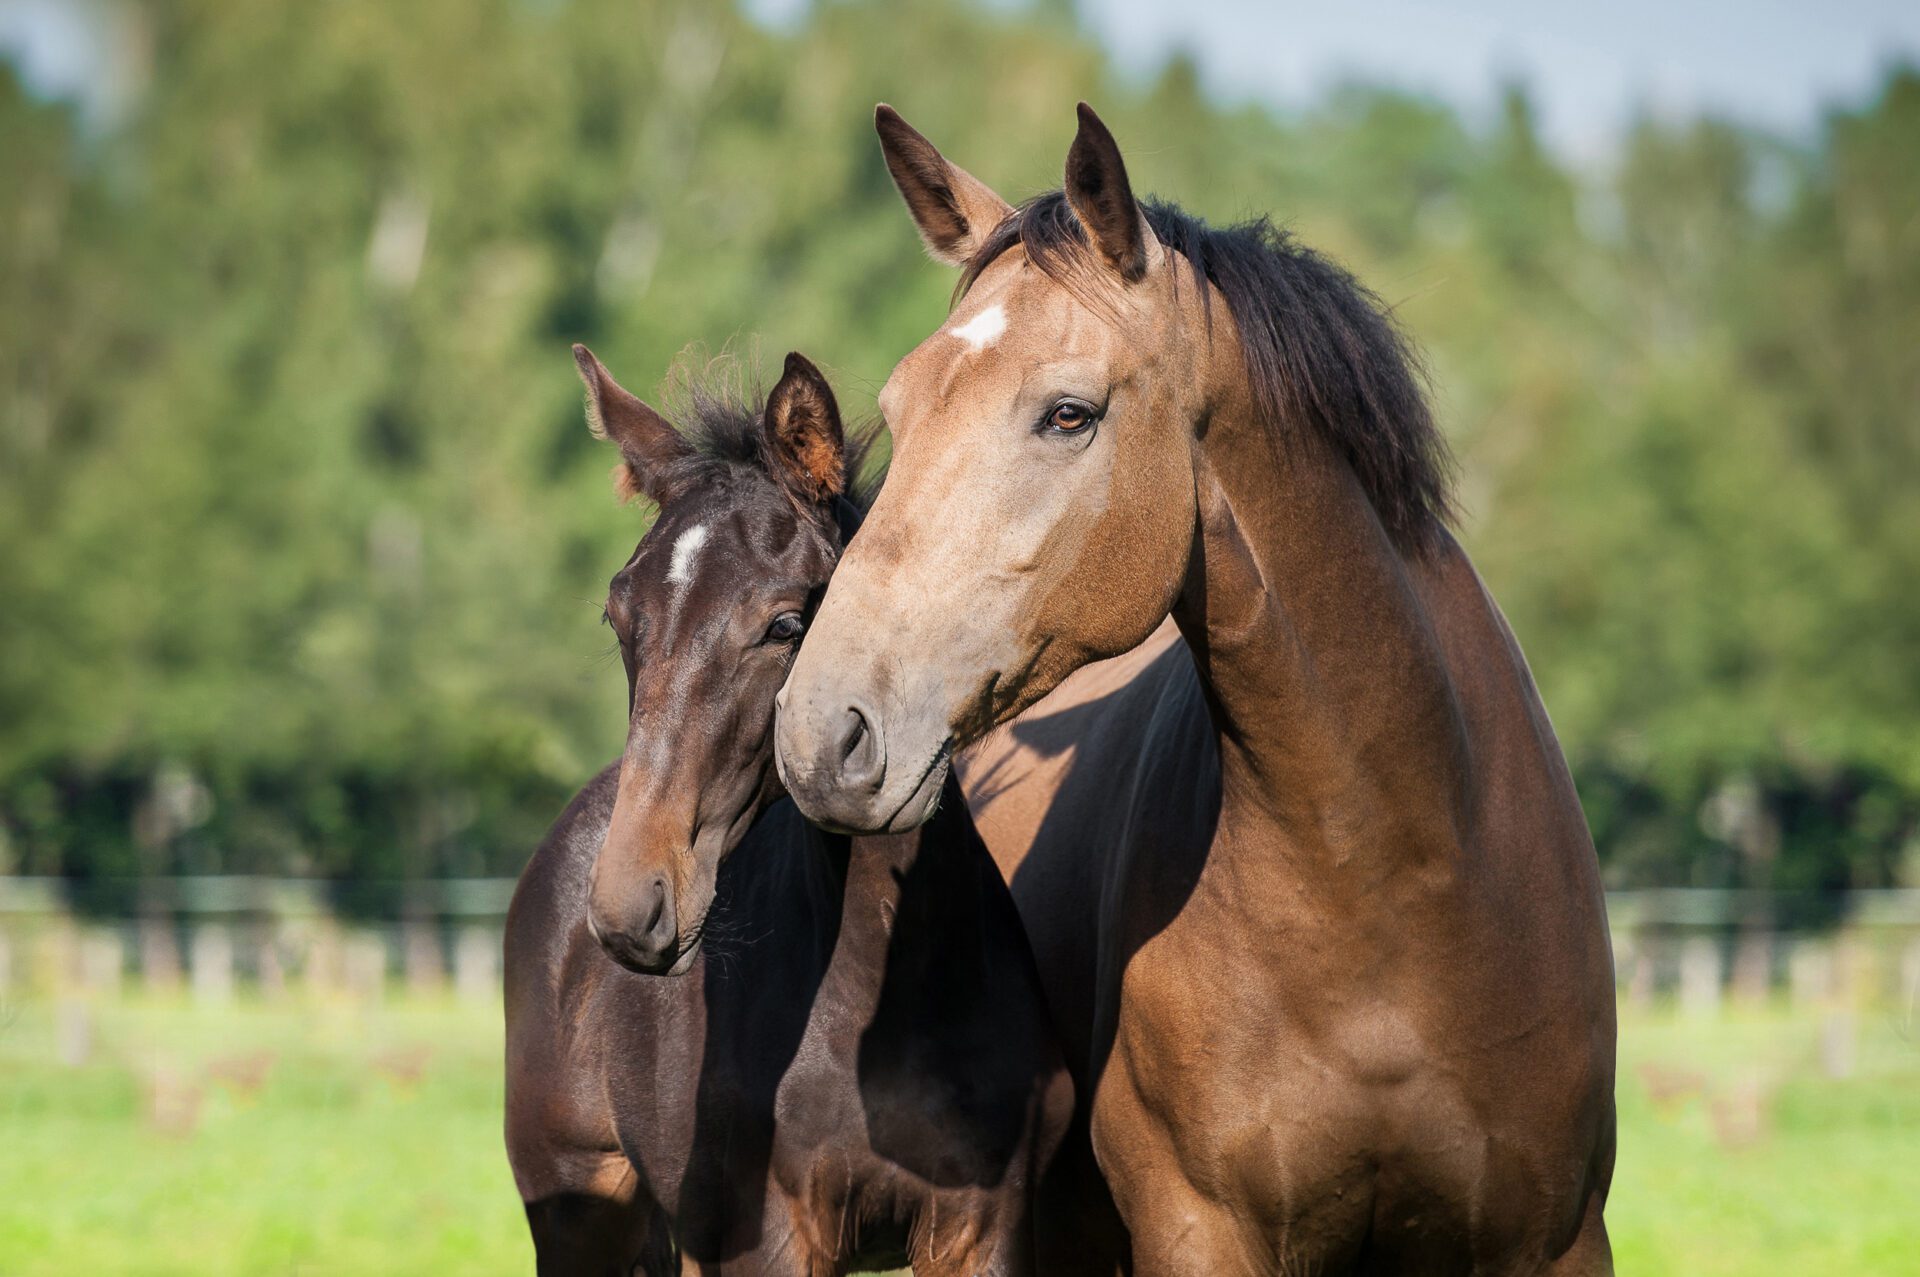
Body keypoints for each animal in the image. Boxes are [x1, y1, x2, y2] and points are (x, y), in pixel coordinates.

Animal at [506, 343, 1082, 1267]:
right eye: (619, 616)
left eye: (785, 623)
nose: (630, 908)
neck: (893, 995)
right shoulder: (766, 1240)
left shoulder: (981, 1227)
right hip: (580, 1215)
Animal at [771, 104, 1612, 1267]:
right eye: (897, 408)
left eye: (1069, 413)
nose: (822, 732)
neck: (1393, 875)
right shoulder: (1198, 1230)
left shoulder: (1557, 1236)